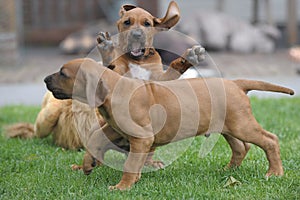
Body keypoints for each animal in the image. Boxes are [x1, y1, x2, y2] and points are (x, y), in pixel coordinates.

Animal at [44, 58, 292, 190]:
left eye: (63, 73)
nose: (45, 79)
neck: (114, 89)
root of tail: (236, 83)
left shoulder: (141, 137)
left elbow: (130, 163)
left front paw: (123, 186)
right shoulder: (117, 130)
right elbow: (95, 138)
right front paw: (88, 164)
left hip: (242, 125)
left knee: (270, 140)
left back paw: (274, 172)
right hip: (228, 126)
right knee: (242, 147)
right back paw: (229, 170)